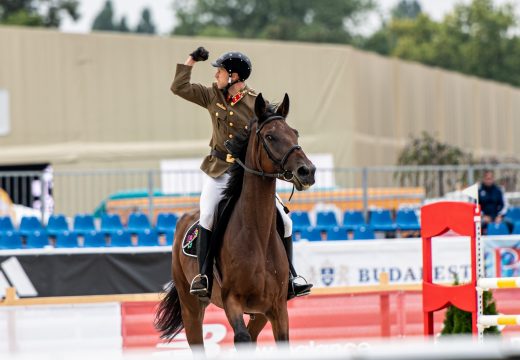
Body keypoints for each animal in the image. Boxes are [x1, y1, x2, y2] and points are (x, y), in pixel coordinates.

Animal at [154, 93, 314, 352]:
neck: (257, 235)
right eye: (270, 136)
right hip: (191, 306)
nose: (307, 171)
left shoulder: (276, 308)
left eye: (295, 133)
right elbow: (242, 337)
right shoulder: (232, 301)